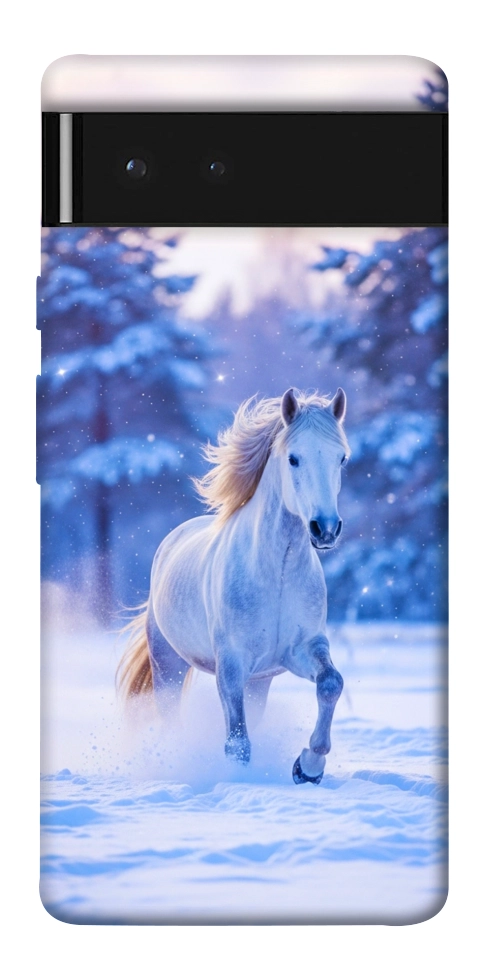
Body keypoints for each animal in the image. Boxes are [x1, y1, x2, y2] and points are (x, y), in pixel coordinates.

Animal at [118, 386, 350, 785]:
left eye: (341, 459)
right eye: (293, 458)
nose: (325, 529)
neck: (277, 574)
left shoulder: (301, 649)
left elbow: (331, 683)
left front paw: (308, 767)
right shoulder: (231, 664)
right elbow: (237, 742)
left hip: (259, 682)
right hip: (168, 665)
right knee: (170, 717)